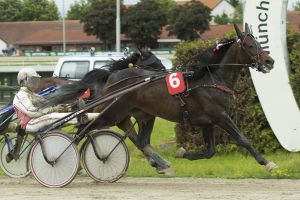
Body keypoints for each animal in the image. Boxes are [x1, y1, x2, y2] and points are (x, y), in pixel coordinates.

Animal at [44, 23, 278, 173]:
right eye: (250, 45)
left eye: (259, 42)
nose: (270, 61)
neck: (211, 79)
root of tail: (112, 77)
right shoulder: (220, 116)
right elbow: (243, 139)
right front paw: (267, 162)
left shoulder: (207, 122)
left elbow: (210, 151)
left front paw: (182, 153)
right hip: (111, 112)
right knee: (83, 129)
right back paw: (60, 159)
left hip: (143, 115)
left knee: (139, 140)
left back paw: (158, 162)